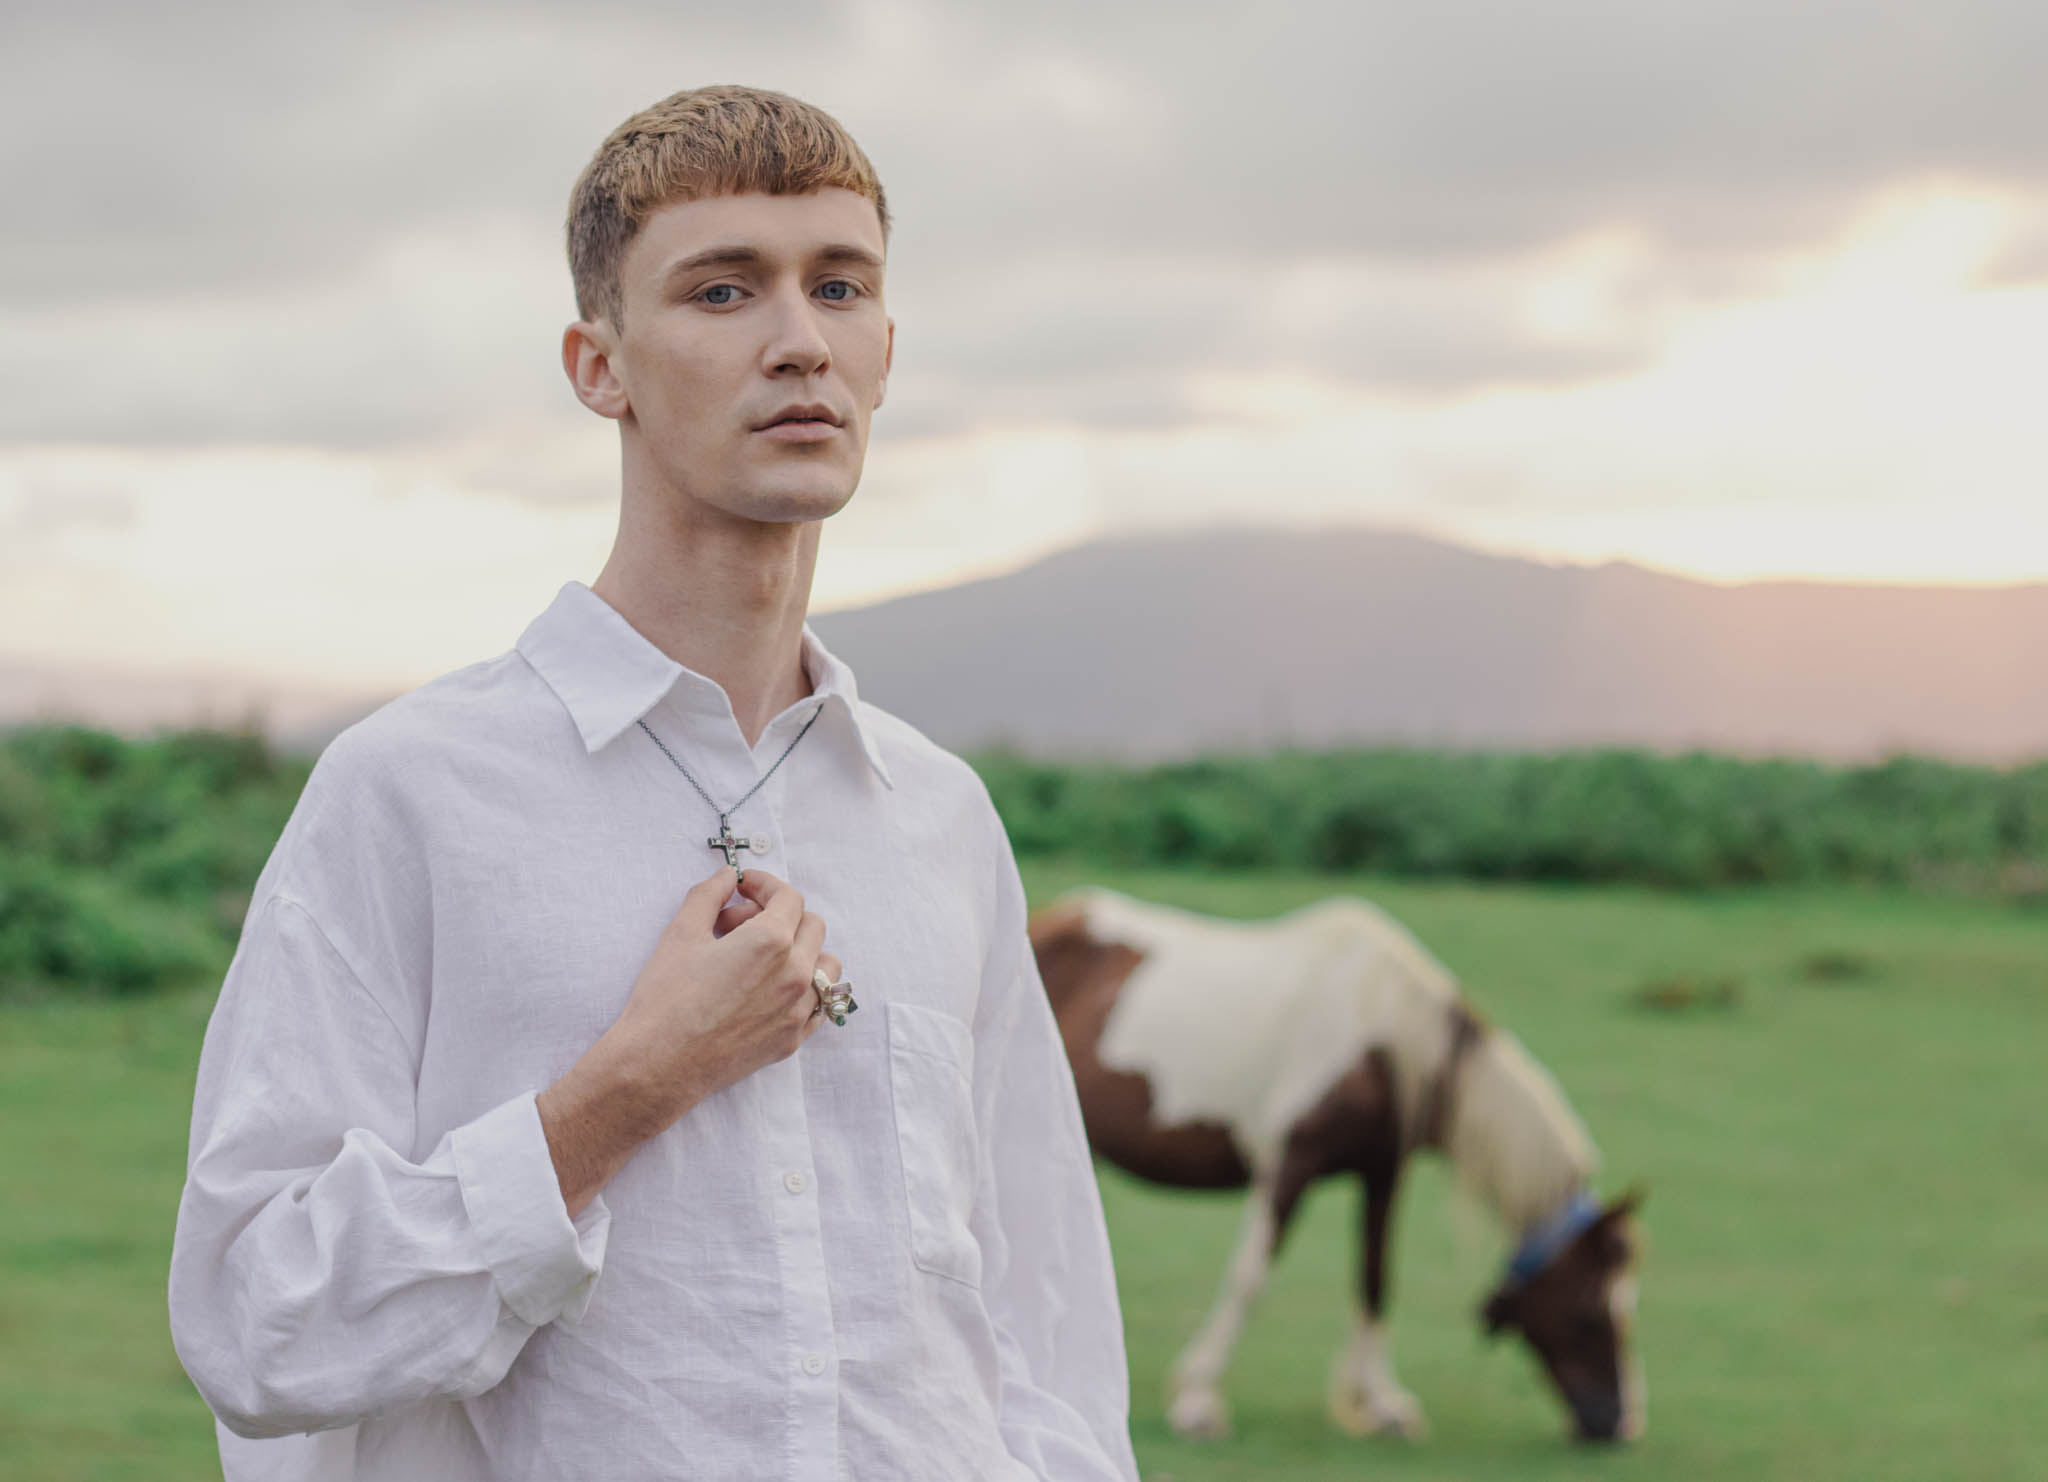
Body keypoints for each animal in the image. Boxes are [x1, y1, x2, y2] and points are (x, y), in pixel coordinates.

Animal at [1027, 884, 1647, 1444]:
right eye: (1590, 1316)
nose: (1620, 1425)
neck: (1385, 1039)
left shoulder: (1382, 1173)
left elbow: (1375, 1277)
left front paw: (1381, 1404)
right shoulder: (1290, 1165)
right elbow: (1251, 1275)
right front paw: (1199, 1398)